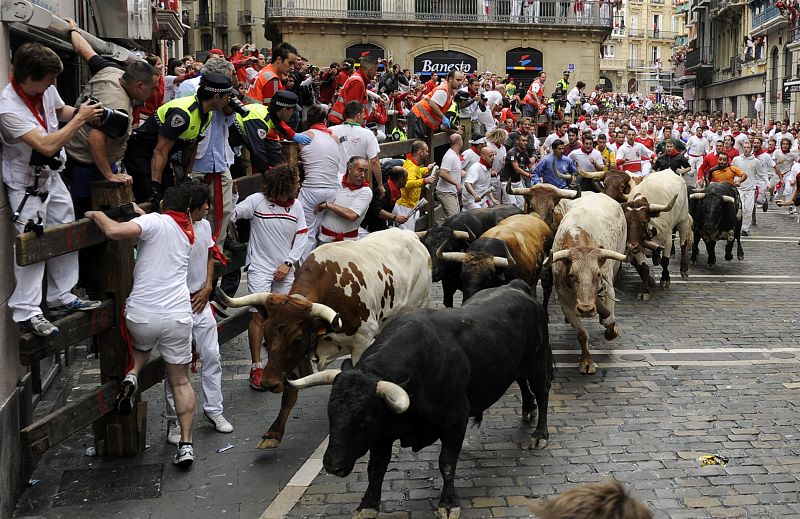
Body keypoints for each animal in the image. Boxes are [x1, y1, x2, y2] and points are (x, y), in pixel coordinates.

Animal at [217, 230, 432, 448]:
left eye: (296, 339)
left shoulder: (361, 343)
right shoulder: (299, 354)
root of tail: (410, 234)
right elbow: (290, 392)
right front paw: (273, 434)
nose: (268, 383)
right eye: (266, 337)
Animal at [288, 280, 556, 519]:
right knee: (522, 382)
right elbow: (376, 468)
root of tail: (515, 286)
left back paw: (539, 434)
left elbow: (446, 462)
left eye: (364, 419)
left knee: (542, 392)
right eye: (331, 415)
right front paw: (368, 505)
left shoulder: (455, 419)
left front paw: (448, 503)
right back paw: (527, 409)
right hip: (517, 363)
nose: (332, 465)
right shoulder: (383, 433)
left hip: (537, 361)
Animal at [548, 192, 628, 374]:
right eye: (571, 275)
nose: (586, 309)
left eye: (598, 274)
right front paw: (586, 361)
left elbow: (609, 321)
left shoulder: (608, 291)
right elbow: (582, 334)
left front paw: (611, 331)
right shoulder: (565, 300)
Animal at [620, 169, 692, 302]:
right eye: (626, 222)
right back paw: (655, 256)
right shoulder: (638, 244)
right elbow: (644, 267)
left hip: (683, 219)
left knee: (683, 244)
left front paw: (665, 279)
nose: (631, 246)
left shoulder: (667, 238)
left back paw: (684, 269)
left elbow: (665, 261)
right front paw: (645, 291)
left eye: (643, 221)